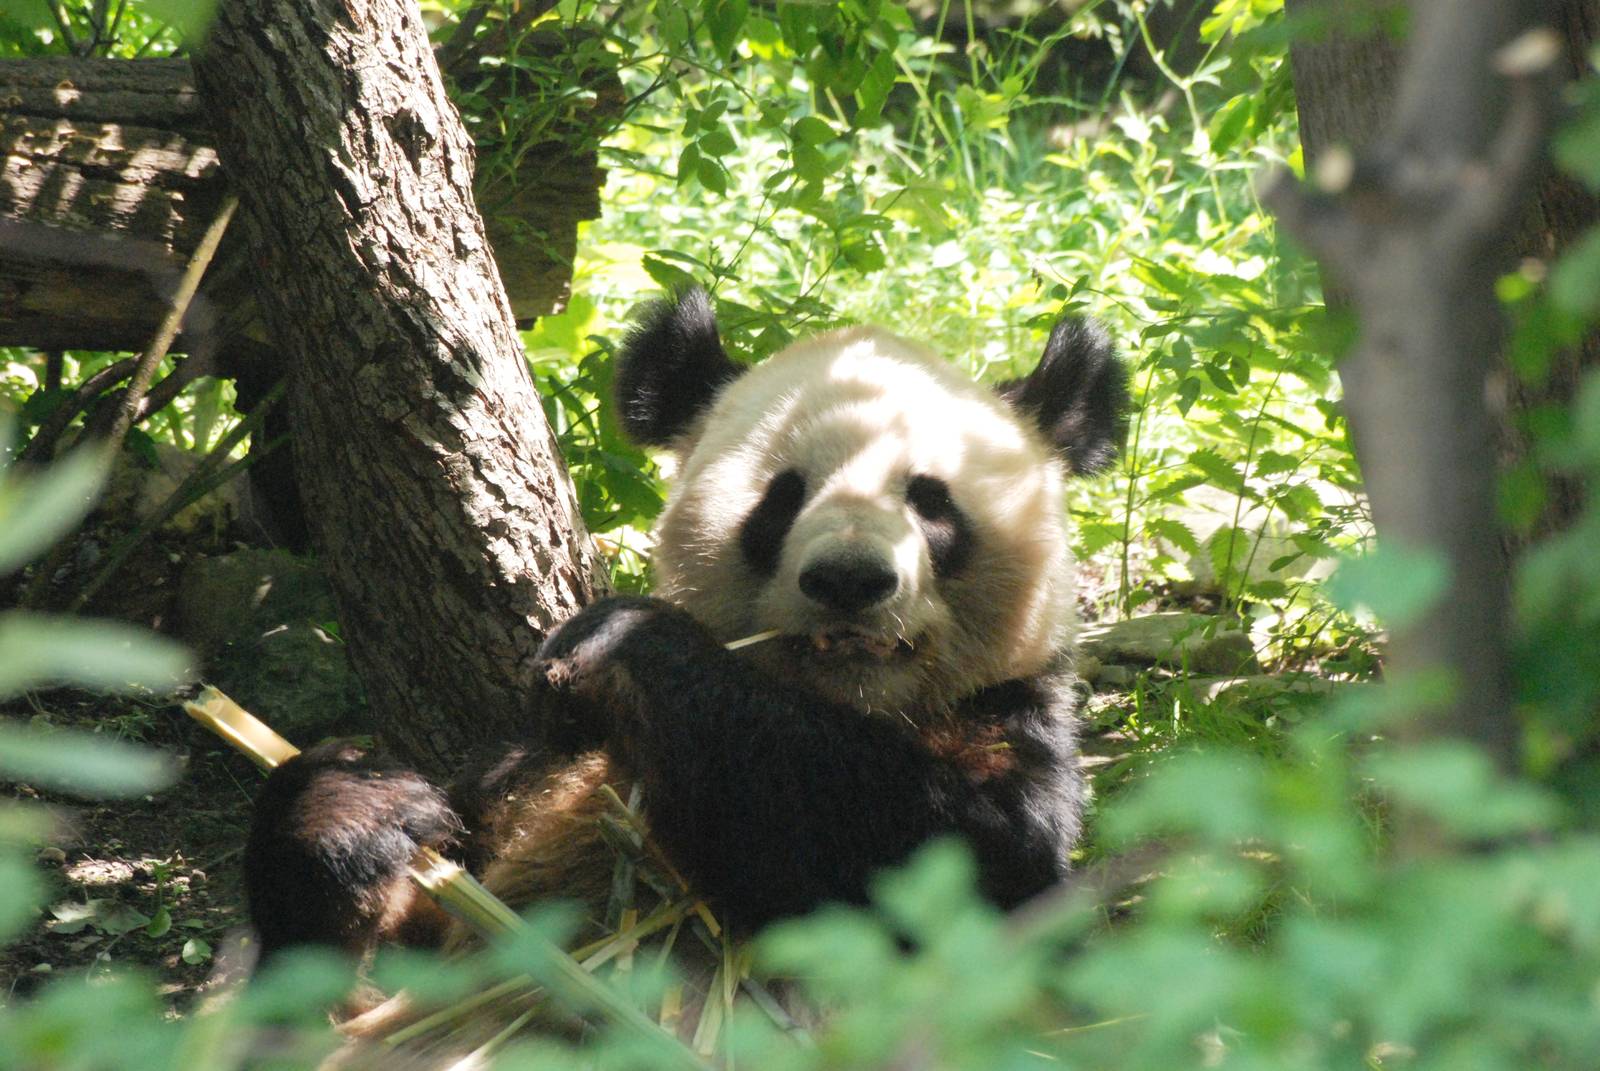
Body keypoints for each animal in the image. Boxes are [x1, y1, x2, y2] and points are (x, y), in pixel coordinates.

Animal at [243, 287, 1128, 969]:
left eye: (932, 500)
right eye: (781, 498)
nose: (848, 579)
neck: (848, 708)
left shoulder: (1012, 723)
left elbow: (960, 855)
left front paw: (627, 643)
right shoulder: (525, 776)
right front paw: (356, 805)